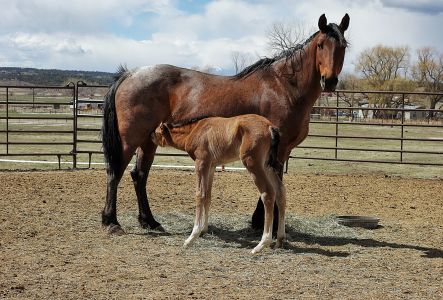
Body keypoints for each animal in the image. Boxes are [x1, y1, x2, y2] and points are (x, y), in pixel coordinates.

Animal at [151, 115, 286, 253]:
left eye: (156, 131)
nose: (150, 137)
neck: (195, 130)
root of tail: (270, 126)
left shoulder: (201, 163)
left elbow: (200, 195)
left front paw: (192, 237)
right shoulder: (211, 166)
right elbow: (208, 196)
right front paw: (204, 230)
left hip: (252, 163)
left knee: (268, 193)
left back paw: (261, 244)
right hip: (266, 166)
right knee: (280, 191)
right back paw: (279, 240)